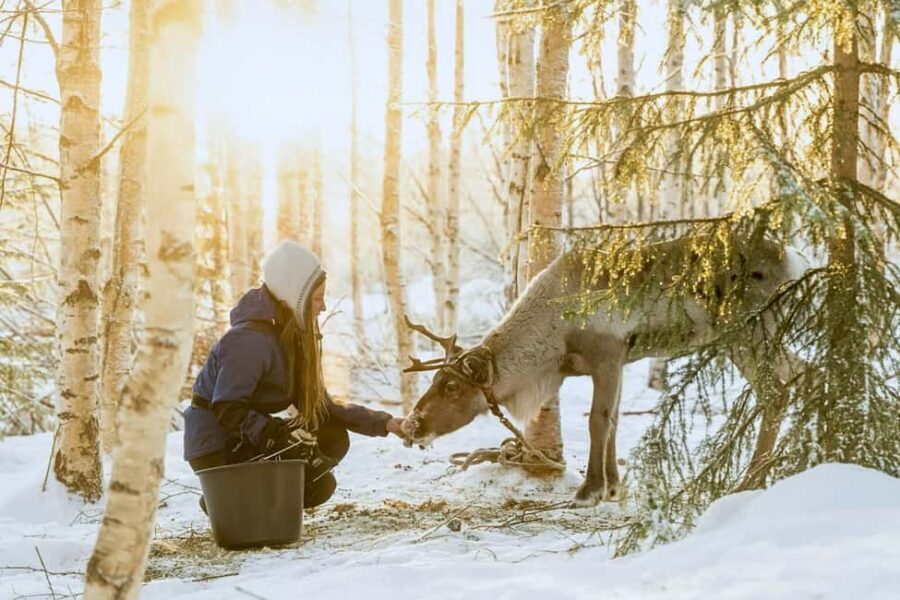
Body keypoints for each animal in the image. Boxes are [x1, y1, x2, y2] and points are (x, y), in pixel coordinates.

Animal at [400, 235, 808, 507]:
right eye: (436, 379)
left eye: (451, 386)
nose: (412, 425)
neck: (552, 340)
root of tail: (794, 260)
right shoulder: (620, 362)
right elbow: (613, 421)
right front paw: (613, 486)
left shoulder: (607, 355)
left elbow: (599, 420)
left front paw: (590, 490)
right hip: (764, 334)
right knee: (806, 371)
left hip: (747, 331)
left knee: (776, 390)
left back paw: (748, 482)